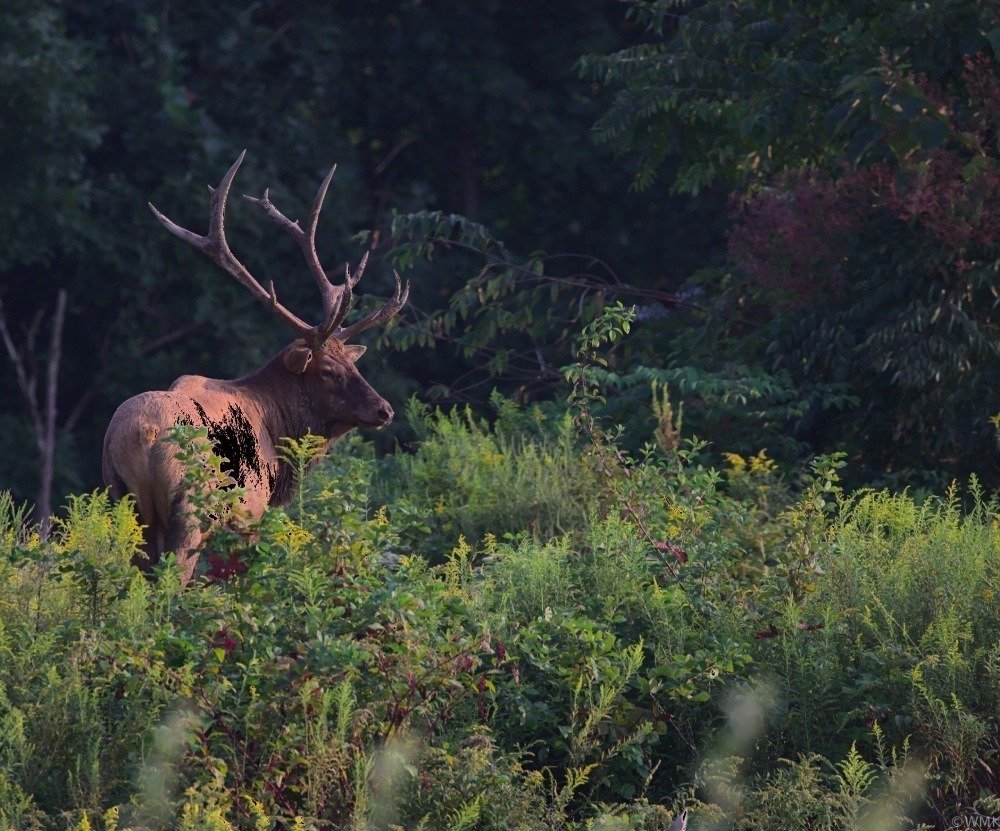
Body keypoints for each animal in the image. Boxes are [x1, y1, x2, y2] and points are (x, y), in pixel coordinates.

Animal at [103, 156, 408, 584]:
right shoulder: (251, 511)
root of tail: (143, 433)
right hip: (192, 507)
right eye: (328, 371)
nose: (384, 410)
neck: (275, 426)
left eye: (352, 362)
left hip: (123, 502)